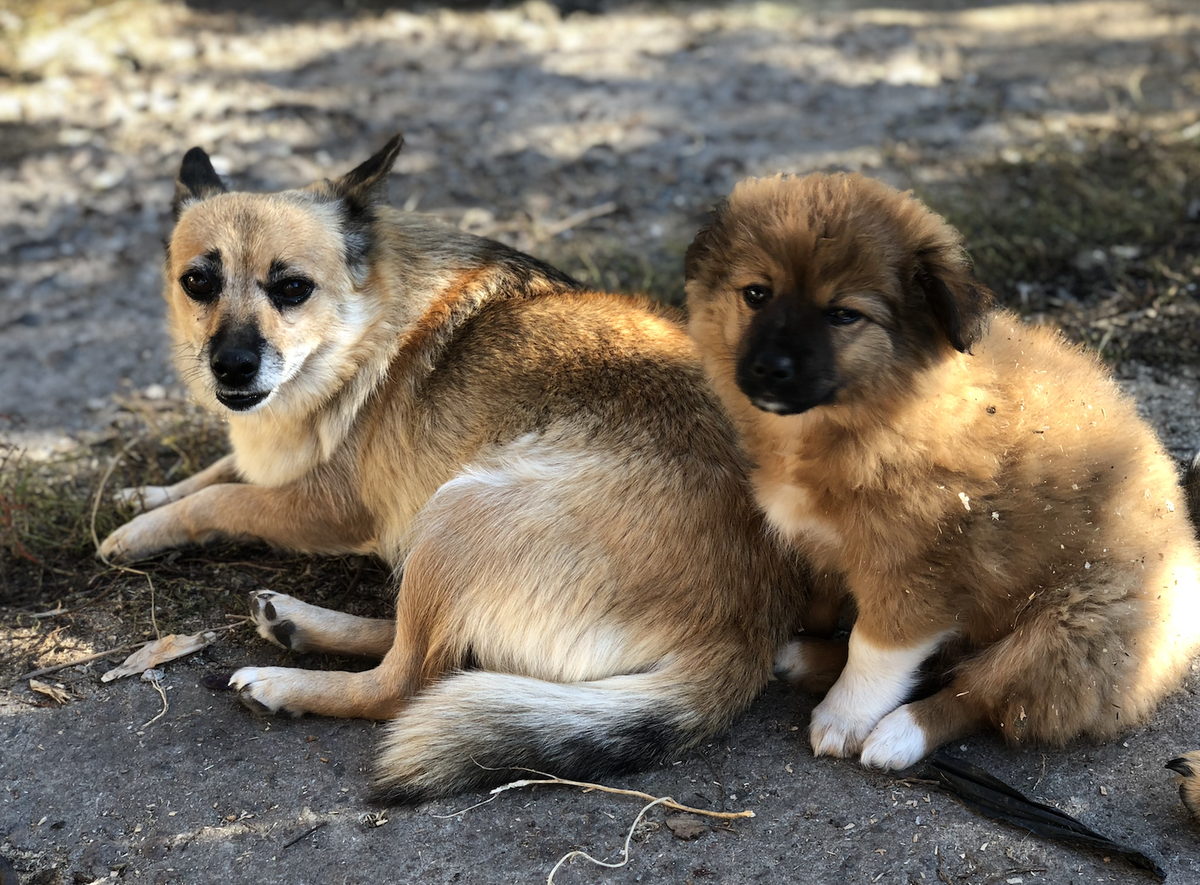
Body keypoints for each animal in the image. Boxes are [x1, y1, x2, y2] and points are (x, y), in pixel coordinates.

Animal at [98, 139, 806, 801]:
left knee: (408, 680)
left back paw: (286, 682)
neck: (365, 320)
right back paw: (297, 623)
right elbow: (217, 470)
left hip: (456, 510)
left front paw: (139, 531)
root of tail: (744, 638)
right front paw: (143, 495)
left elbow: (219, 498)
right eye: (198, 282)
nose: (233, 366)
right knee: (432, 648)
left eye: (292, 288)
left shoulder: (325, 509)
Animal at [686, 170, 1200, 767]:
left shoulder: (919, 574)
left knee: (981, 692)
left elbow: (874, 648)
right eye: (756, 294)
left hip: (1073, 628)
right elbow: (823, 608)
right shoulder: (821, 546)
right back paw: (807, 658)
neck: (882, 415)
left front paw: (845, 717)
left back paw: (900, 733)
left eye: (843, 314)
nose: (771, 368)